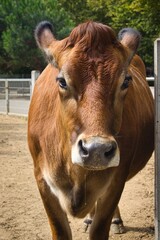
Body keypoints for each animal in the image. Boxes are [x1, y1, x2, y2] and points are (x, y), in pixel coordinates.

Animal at [28, 21, 154, 240]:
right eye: (62, 81)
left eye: (126, 81)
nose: (96, 150)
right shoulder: (42, 180)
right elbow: (60, 231)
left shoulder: (116, 180)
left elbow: (100, 228)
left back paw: (116, 221)